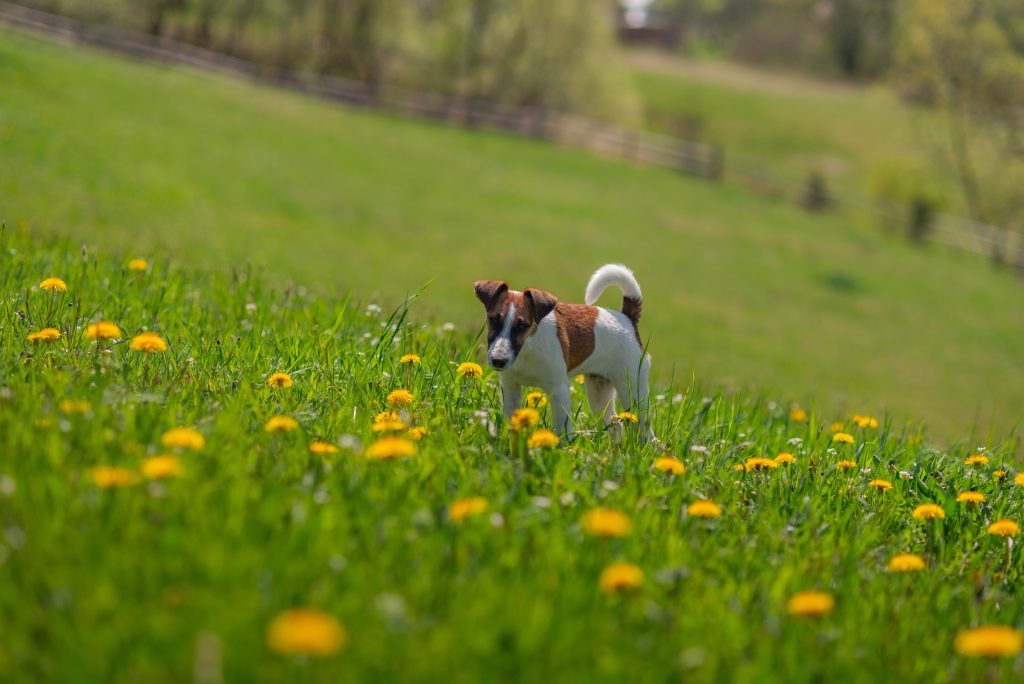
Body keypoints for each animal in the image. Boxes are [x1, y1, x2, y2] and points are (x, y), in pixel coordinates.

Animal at [473, 264, 651, 440]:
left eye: (522, 326)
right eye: (494, 320)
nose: (498, 360)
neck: (527, 348)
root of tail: (627, 318)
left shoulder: (559, 390)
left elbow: (561, 430)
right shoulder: (510, 386)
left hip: (633, 390)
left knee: (645, 429)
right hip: (599, 391)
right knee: (616, 425)